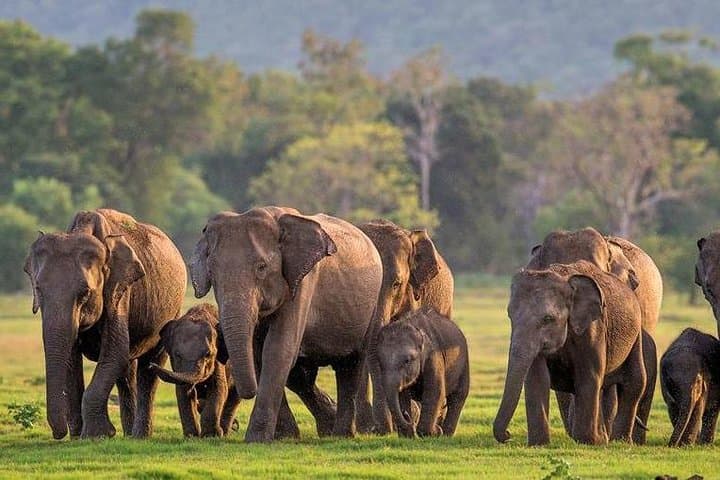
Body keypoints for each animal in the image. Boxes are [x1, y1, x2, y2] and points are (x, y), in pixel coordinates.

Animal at [23, 209, 186, 439]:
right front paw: (78, 436)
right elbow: (72, 358)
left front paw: (98, 435)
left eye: (85, 293)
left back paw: (139, 436)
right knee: (127, 371)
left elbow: (114, 351)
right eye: (38, 290)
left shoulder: (119, 290)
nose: (59, 434)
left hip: (173, 309)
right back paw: (129, 435)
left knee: (149, 367)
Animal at [150, 303, 239, 437]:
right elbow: (183, 392)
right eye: (177, 355)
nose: (151, 365)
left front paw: (211, 436)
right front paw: (191, 436)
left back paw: (224, 432)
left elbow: (218, 389)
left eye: (208, 354)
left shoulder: (219, 361)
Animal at [190, 207, 383, 442]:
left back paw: (341, 435)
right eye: (212, 273)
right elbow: (259, 353)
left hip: (371, 306)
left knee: (351, 364)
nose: (235, 425)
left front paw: (256, 439)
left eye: (261, 267)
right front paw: (285, 437)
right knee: (305, 375)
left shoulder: (303, 282)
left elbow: (278, 349)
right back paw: (328, 427)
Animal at [377, 307, 468, 438]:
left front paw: (433, 433)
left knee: (458, 397)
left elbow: (436, 391)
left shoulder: (434, 356)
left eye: (407, 361)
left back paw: (446, 434)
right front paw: (408, 436)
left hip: (464, 363)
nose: (408, 417)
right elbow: (402, 395)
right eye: (379, 362)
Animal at [494, 260, 646, 446]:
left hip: (636, 335)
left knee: (635, 382)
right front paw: (539, 444)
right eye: (510, 316)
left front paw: (589, 441)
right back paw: (604, 438)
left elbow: (589, 375)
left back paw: (619, 441)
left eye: (548, 319)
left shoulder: (593, 328)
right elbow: (537, 377)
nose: (508, 435)